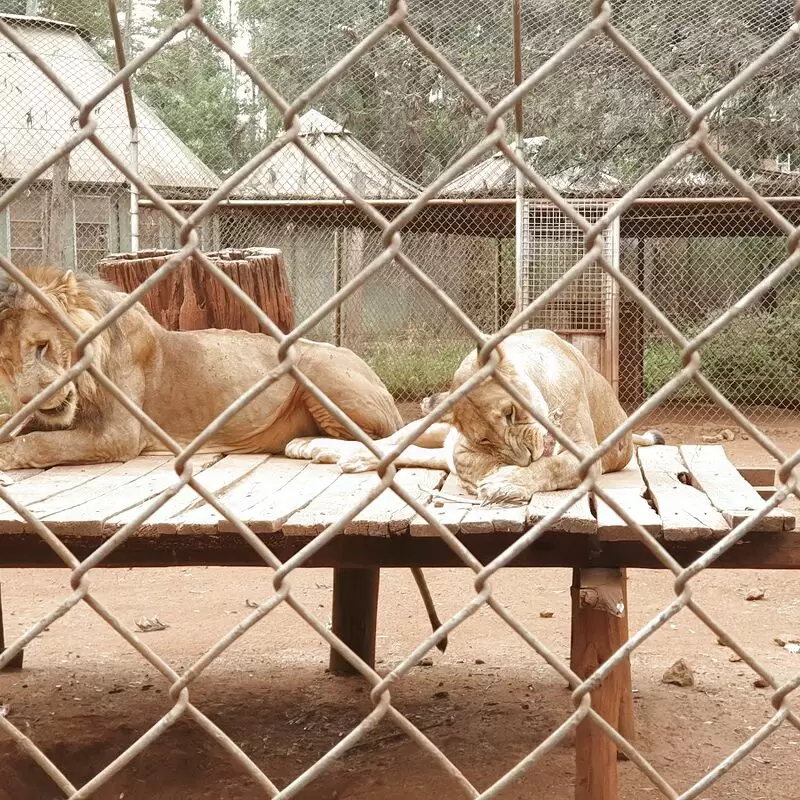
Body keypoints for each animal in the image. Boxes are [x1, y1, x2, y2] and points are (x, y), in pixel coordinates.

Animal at [286, 328, 664, 504]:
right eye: (484, 437)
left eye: (510, 412)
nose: (525, 457)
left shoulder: (585, 452)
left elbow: (552, 466)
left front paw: (505, 481)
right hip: (434, 426)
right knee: (397, 441)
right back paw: (317, 447)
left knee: (414, 453)